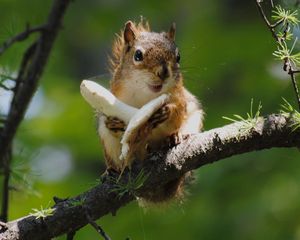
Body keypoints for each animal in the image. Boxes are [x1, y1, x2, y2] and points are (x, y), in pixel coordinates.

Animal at [98, 19, 204, 202]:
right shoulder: (115, 96)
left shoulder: (180, 96)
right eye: (138, 55)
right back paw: (111, 171)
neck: (146, 94)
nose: (163, 72)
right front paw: (113, 122)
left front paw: (167, 111)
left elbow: (178, 110)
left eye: (178, 56)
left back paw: (175, 137)